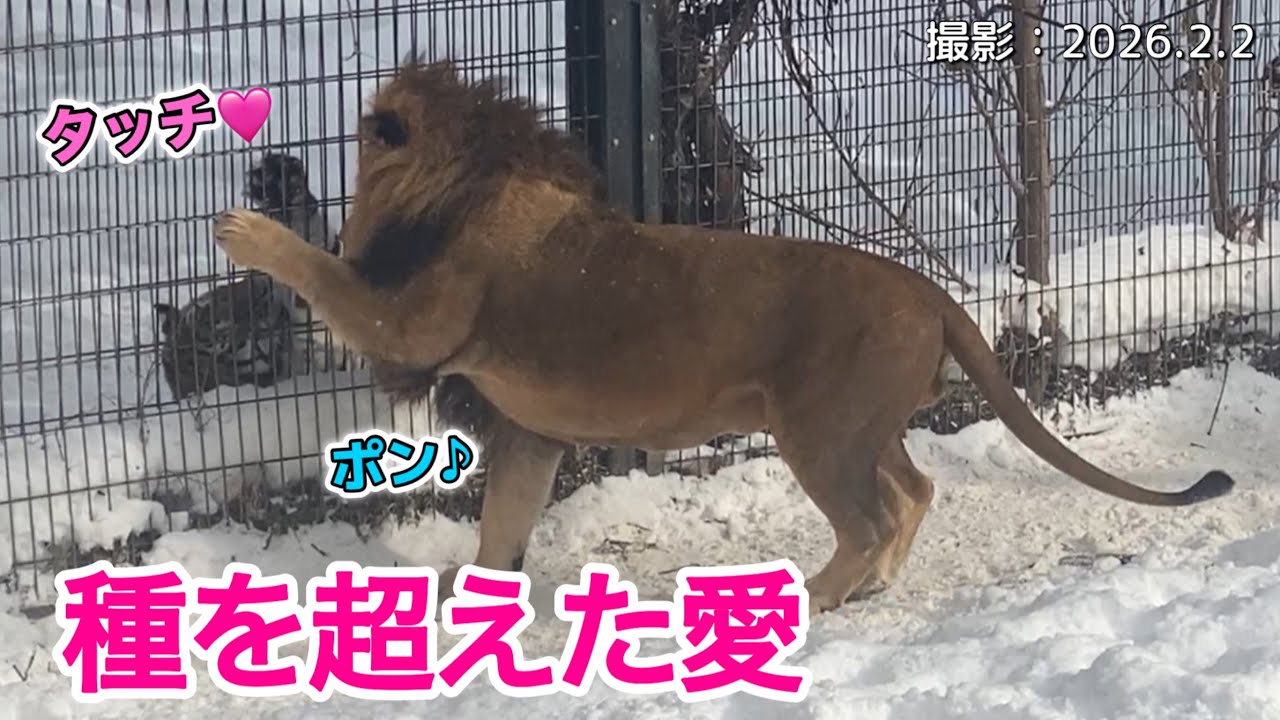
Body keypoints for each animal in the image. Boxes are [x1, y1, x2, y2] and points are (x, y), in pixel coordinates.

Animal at [209, 59, 1234, 616]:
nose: (277, 175)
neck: (473, 180)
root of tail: (928, 289)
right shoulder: (531, 429)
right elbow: (503, 524)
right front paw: (478, 607)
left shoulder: (412, 323)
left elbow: (324, 272)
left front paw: (246, 232)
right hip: (862, 425)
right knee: (914, 490)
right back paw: (872, 585)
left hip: (820, 432)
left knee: (871, 516)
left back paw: (817, 599)